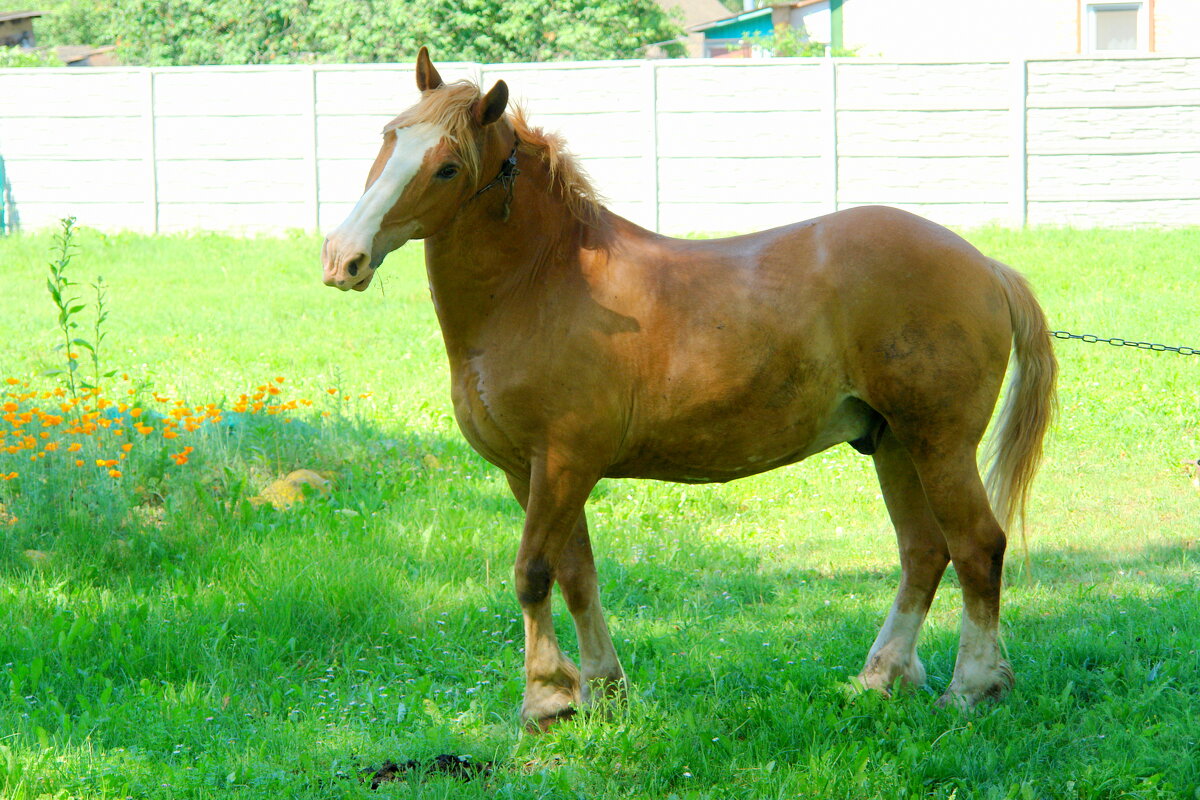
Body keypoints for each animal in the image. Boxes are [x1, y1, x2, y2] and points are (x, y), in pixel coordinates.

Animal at [321, 47, 1060, 729]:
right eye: (387, 137)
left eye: (447, 167)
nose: (341, 258)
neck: (542, 282)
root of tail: (984, 264)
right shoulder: (532, 472)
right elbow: (576, 573)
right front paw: (603, 690)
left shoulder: (561, 464)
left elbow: (533, 574)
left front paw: (545, 699)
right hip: (894, 444)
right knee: (923, 552)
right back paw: (881, 678)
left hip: (940, 445)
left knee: (976, 547)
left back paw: (973, 688)